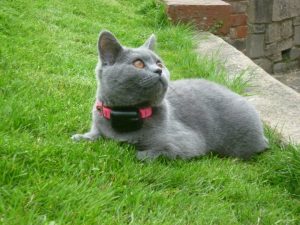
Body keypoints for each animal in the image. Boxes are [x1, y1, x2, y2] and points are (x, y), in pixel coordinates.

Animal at [71, 30, 268, 160]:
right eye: (138, 63)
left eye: (159, 63)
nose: (158, 70)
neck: (126, 114)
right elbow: (94, 135)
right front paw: (80, 137)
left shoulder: (185, 143)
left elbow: (145, 154)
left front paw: (132, 150)